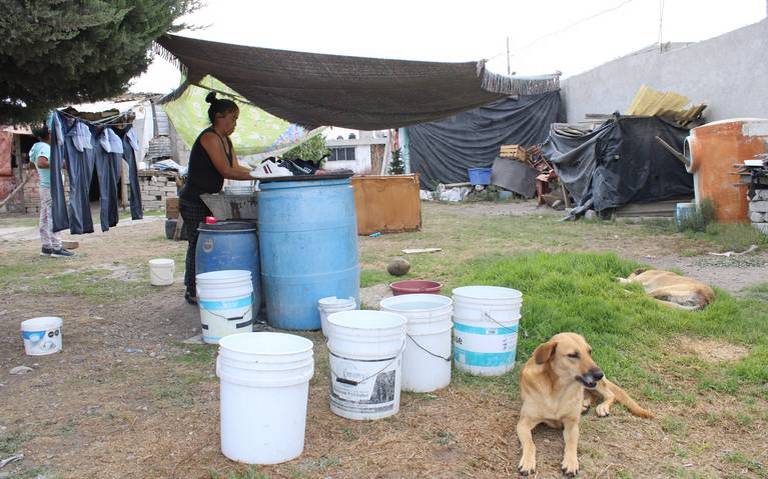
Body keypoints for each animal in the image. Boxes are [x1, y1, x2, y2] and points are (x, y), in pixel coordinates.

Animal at [516, 334, 656, 476]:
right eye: (572, 355)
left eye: (589, 351)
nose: (599, 374)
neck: (557, 388)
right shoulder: (523, 424)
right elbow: (530, 444)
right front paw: (527, 462)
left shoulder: (572, 425)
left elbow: (572, 444)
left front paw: (571, 462)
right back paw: (584, 404)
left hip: (597, 386)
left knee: (610, 394)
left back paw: (601, 407)